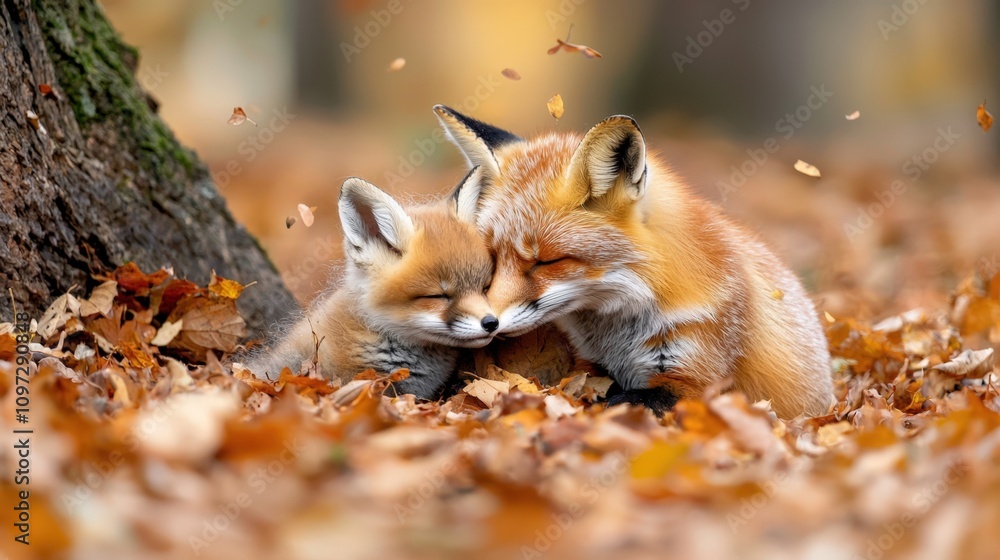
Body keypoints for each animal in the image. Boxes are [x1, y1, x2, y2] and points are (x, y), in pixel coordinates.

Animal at [433, 105, 834, 418]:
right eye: (493, 257)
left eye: (546, 262)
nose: (489, 323)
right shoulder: (589, 364)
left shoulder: (697, 377)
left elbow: (621, 400)